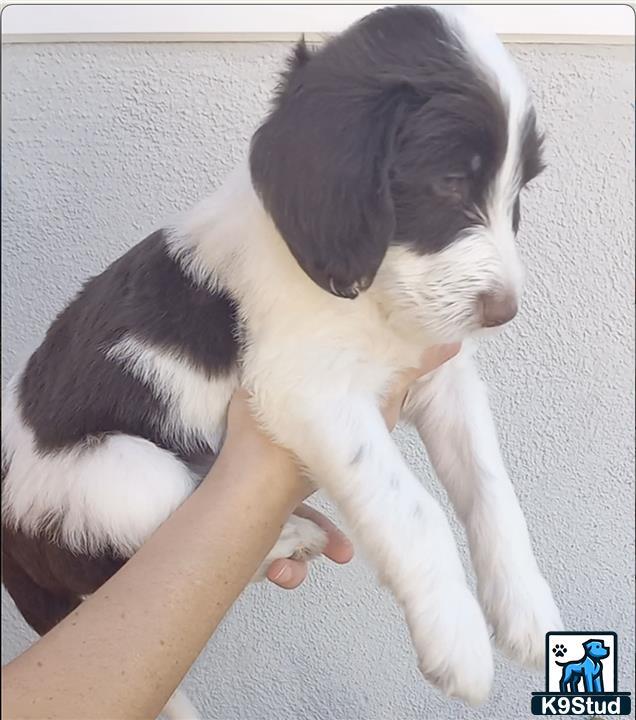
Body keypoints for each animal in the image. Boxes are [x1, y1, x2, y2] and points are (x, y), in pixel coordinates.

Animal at [3, 7, 560, 708]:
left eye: (519, 190)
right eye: (449, 182)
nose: (503, 312)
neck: (372, 295)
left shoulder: (440, 373)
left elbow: (491, 486)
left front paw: (526, 608)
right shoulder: (309, 390)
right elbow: (415, 508)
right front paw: (455, 636)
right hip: (119, 474)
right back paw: (294, 532)